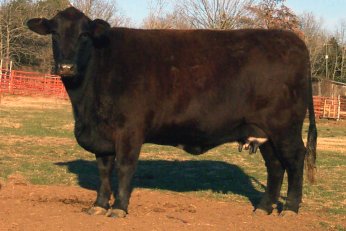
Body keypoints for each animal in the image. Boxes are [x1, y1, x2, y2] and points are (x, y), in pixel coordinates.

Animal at [27, 6, 316, 217]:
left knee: (295, 160)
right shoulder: (102, 135)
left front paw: (119, 208)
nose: (66, 67)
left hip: (285, 128)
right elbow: (103, 170)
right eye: (54, 34)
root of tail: (293, 40)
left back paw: (290, 208)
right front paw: (98, 205)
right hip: (264, 132)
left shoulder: (130, 130)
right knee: (275, 166)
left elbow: (124, 167)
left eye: (84, 35)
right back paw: (264, 208)